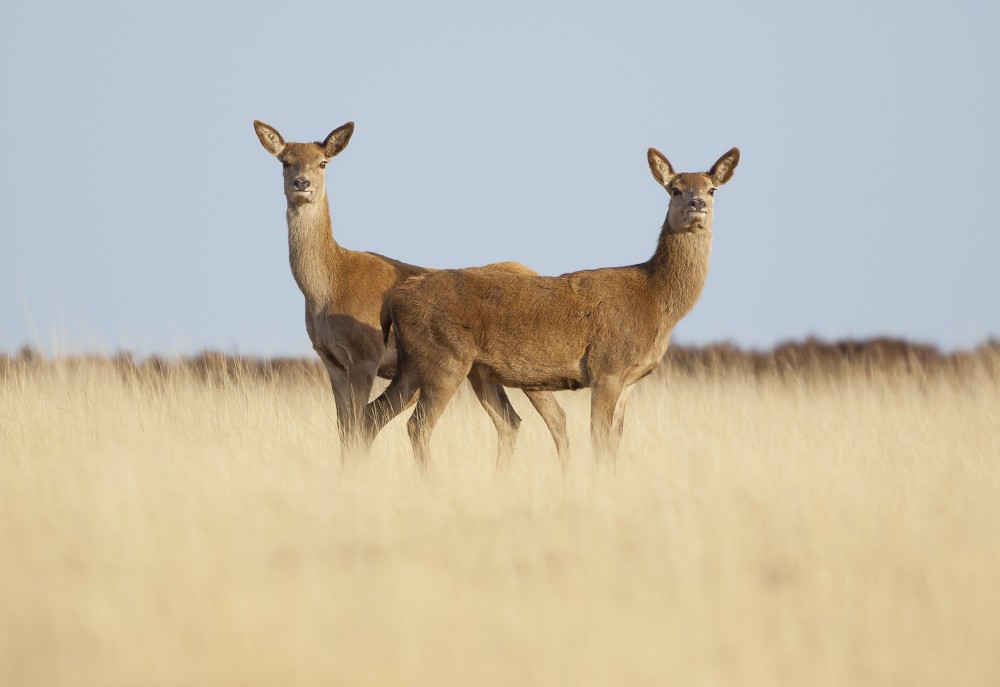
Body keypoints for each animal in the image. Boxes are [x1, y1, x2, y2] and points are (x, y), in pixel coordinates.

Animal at [253, 120, 569, 464]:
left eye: (323, 162)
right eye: (285, 161)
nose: (302, 183)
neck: (327, 289)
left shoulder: (367, 354)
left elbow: (356, 427)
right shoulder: (330, 361)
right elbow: (344, 429)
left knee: (555, 417)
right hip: (483, 371)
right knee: (511, 421)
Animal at [362, 146, 740, 469]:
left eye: (712, 189)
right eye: (674, 189)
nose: (697, 204)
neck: (656, 302)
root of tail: (395, 300)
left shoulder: (630, 380)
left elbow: (615, 442)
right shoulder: (607, 368)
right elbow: (599, 441)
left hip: (426, 364)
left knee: (372, 415)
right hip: (444, 358)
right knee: (417, 426)